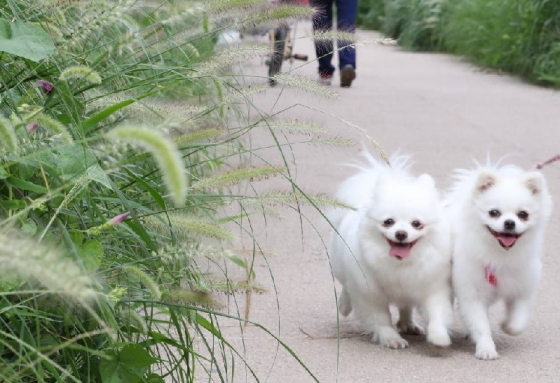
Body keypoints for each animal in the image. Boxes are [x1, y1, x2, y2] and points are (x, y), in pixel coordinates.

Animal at [328, 152, 456, 348]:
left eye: (416, 224)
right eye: (388, 222)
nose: (401, 233)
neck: (401, 264)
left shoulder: (433, 286)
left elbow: (437, 312)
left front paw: (438, 335)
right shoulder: (370, 292)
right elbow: (381, 318)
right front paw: (391, 338)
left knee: (405, 306)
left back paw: (407, 323)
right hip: (343, 268)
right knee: (347, 287)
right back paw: (344, 305)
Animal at [448, 162, 552, 360]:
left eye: (523, 214)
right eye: (494, 213)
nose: (510, 223)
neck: (501, 254)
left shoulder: (522, 288)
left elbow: (518, 321)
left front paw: (507, 326)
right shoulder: (472, 294)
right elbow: (481, 325)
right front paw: (486, 349)